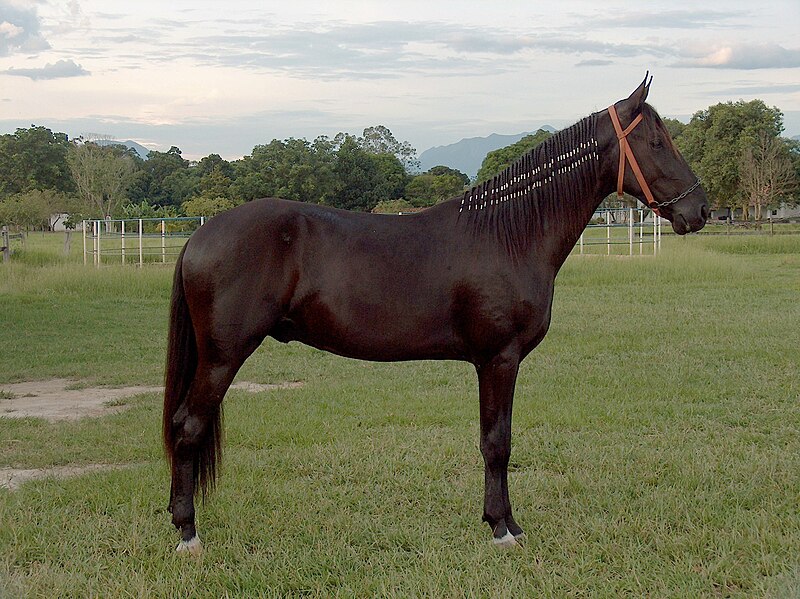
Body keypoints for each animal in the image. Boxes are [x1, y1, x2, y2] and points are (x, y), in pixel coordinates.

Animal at [162, 77, 708, 556]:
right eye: (657, 141)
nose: (700, 211)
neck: (509, 234)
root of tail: (200, 235)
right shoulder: (499, 359)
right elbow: (497, 443)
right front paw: (502, 529)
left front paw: (503, 521)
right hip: (222, 357)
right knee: (187, 426)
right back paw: (189, 535)